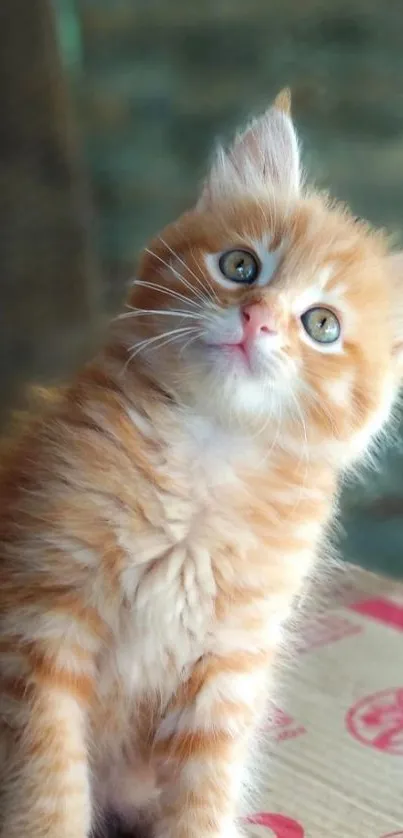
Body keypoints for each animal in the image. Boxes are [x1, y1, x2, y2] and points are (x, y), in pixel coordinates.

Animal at [0, 92, 403, 838]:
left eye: (322, 325)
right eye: (241, 267)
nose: (257, 320)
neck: (209, 455)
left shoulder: (228, 670)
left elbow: (205, 792)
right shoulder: (41, 620)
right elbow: (47, 783)